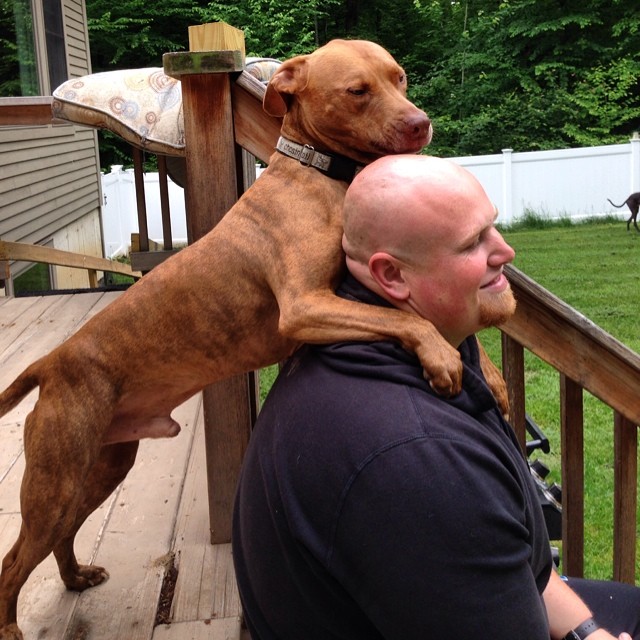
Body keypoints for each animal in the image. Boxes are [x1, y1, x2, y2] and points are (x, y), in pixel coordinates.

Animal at [0, 38, 508, 636]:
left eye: (399, 78)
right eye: (357, 91)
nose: (419, 124)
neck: (320, 175)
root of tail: (53, 360)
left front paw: (492, 378)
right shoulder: (304, 307)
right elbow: (410, 319)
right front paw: (441, 357)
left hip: (101, 467)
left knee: (57, 538)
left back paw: (76, 576)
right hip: (55, 482)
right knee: (14, 559)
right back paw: (10, 625)